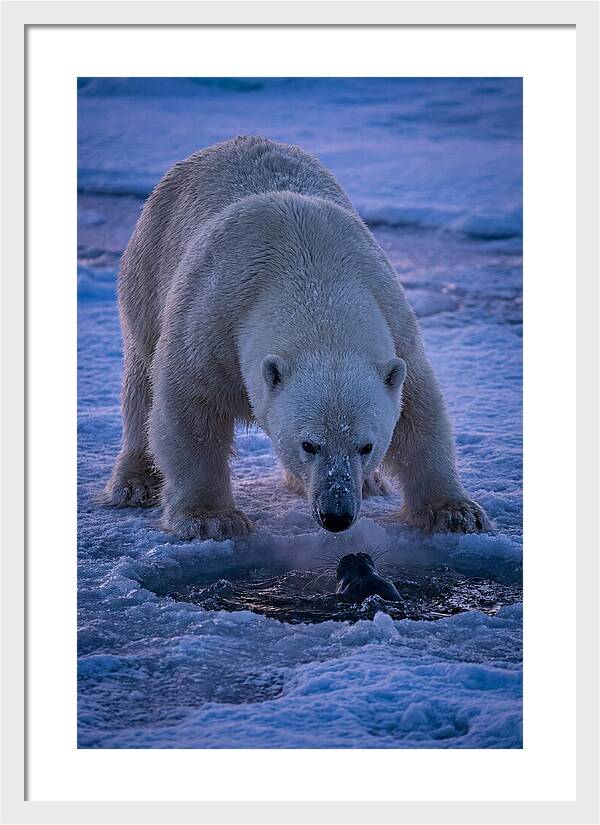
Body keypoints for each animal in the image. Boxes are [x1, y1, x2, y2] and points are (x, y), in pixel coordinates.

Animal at [103, 135, 491, 540]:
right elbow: (190, 410)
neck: (311, 273)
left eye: (366, 446)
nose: (337, 515)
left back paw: (371, 484)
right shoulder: (212, 320)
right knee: (141, 380)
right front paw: (211, 519)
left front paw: (457, 513)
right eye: (309, 444)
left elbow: (419, 411)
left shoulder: (395, 323)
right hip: (148, 267)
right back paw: (135, 483)